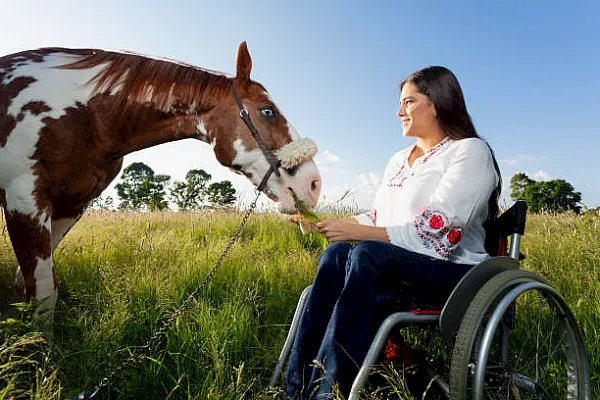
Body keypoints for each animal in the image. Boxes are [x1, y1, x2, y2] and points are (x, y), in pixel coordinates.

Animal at [0, 42, 324, 326]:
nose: (313, 184)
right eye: (268, 111)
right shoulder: (24, 200)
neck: (91, 115)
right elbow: (42, 294)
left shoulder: (72, 205)